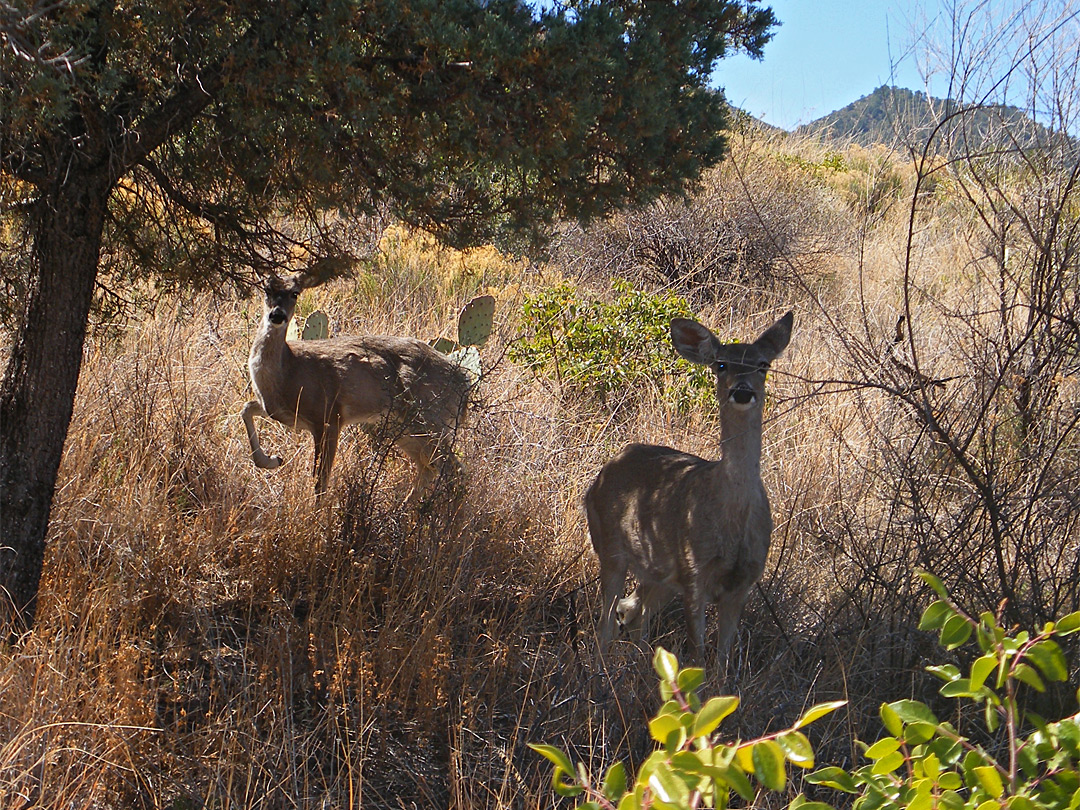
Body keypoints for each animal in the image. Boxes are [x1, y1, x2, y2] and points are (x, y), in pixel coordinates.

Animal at [243, 270, 470, 498]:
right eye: (267, 289)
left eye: (295, 293)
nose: (277, 315)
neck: (288, 371)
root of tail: (463, 382)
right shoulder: (278, 411)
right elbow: (246, 408)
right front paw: (271, 460)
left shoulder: (329, 417)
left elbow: (320, 482)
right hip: (405, 427)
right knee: (429, 467)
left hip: (430, 418)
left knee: (454, 470)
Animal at [583, 311, 794, 665]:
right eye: (721, 364)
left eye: (763, 365)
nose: (742, 392)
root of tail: (601, 475)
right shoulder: (694, 572)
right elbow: (697, 656)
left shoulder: (743, 582)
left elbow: (723, 661)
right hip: (610, 546)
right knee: (607, 625)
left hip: (659, 574)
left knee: (636, 616)